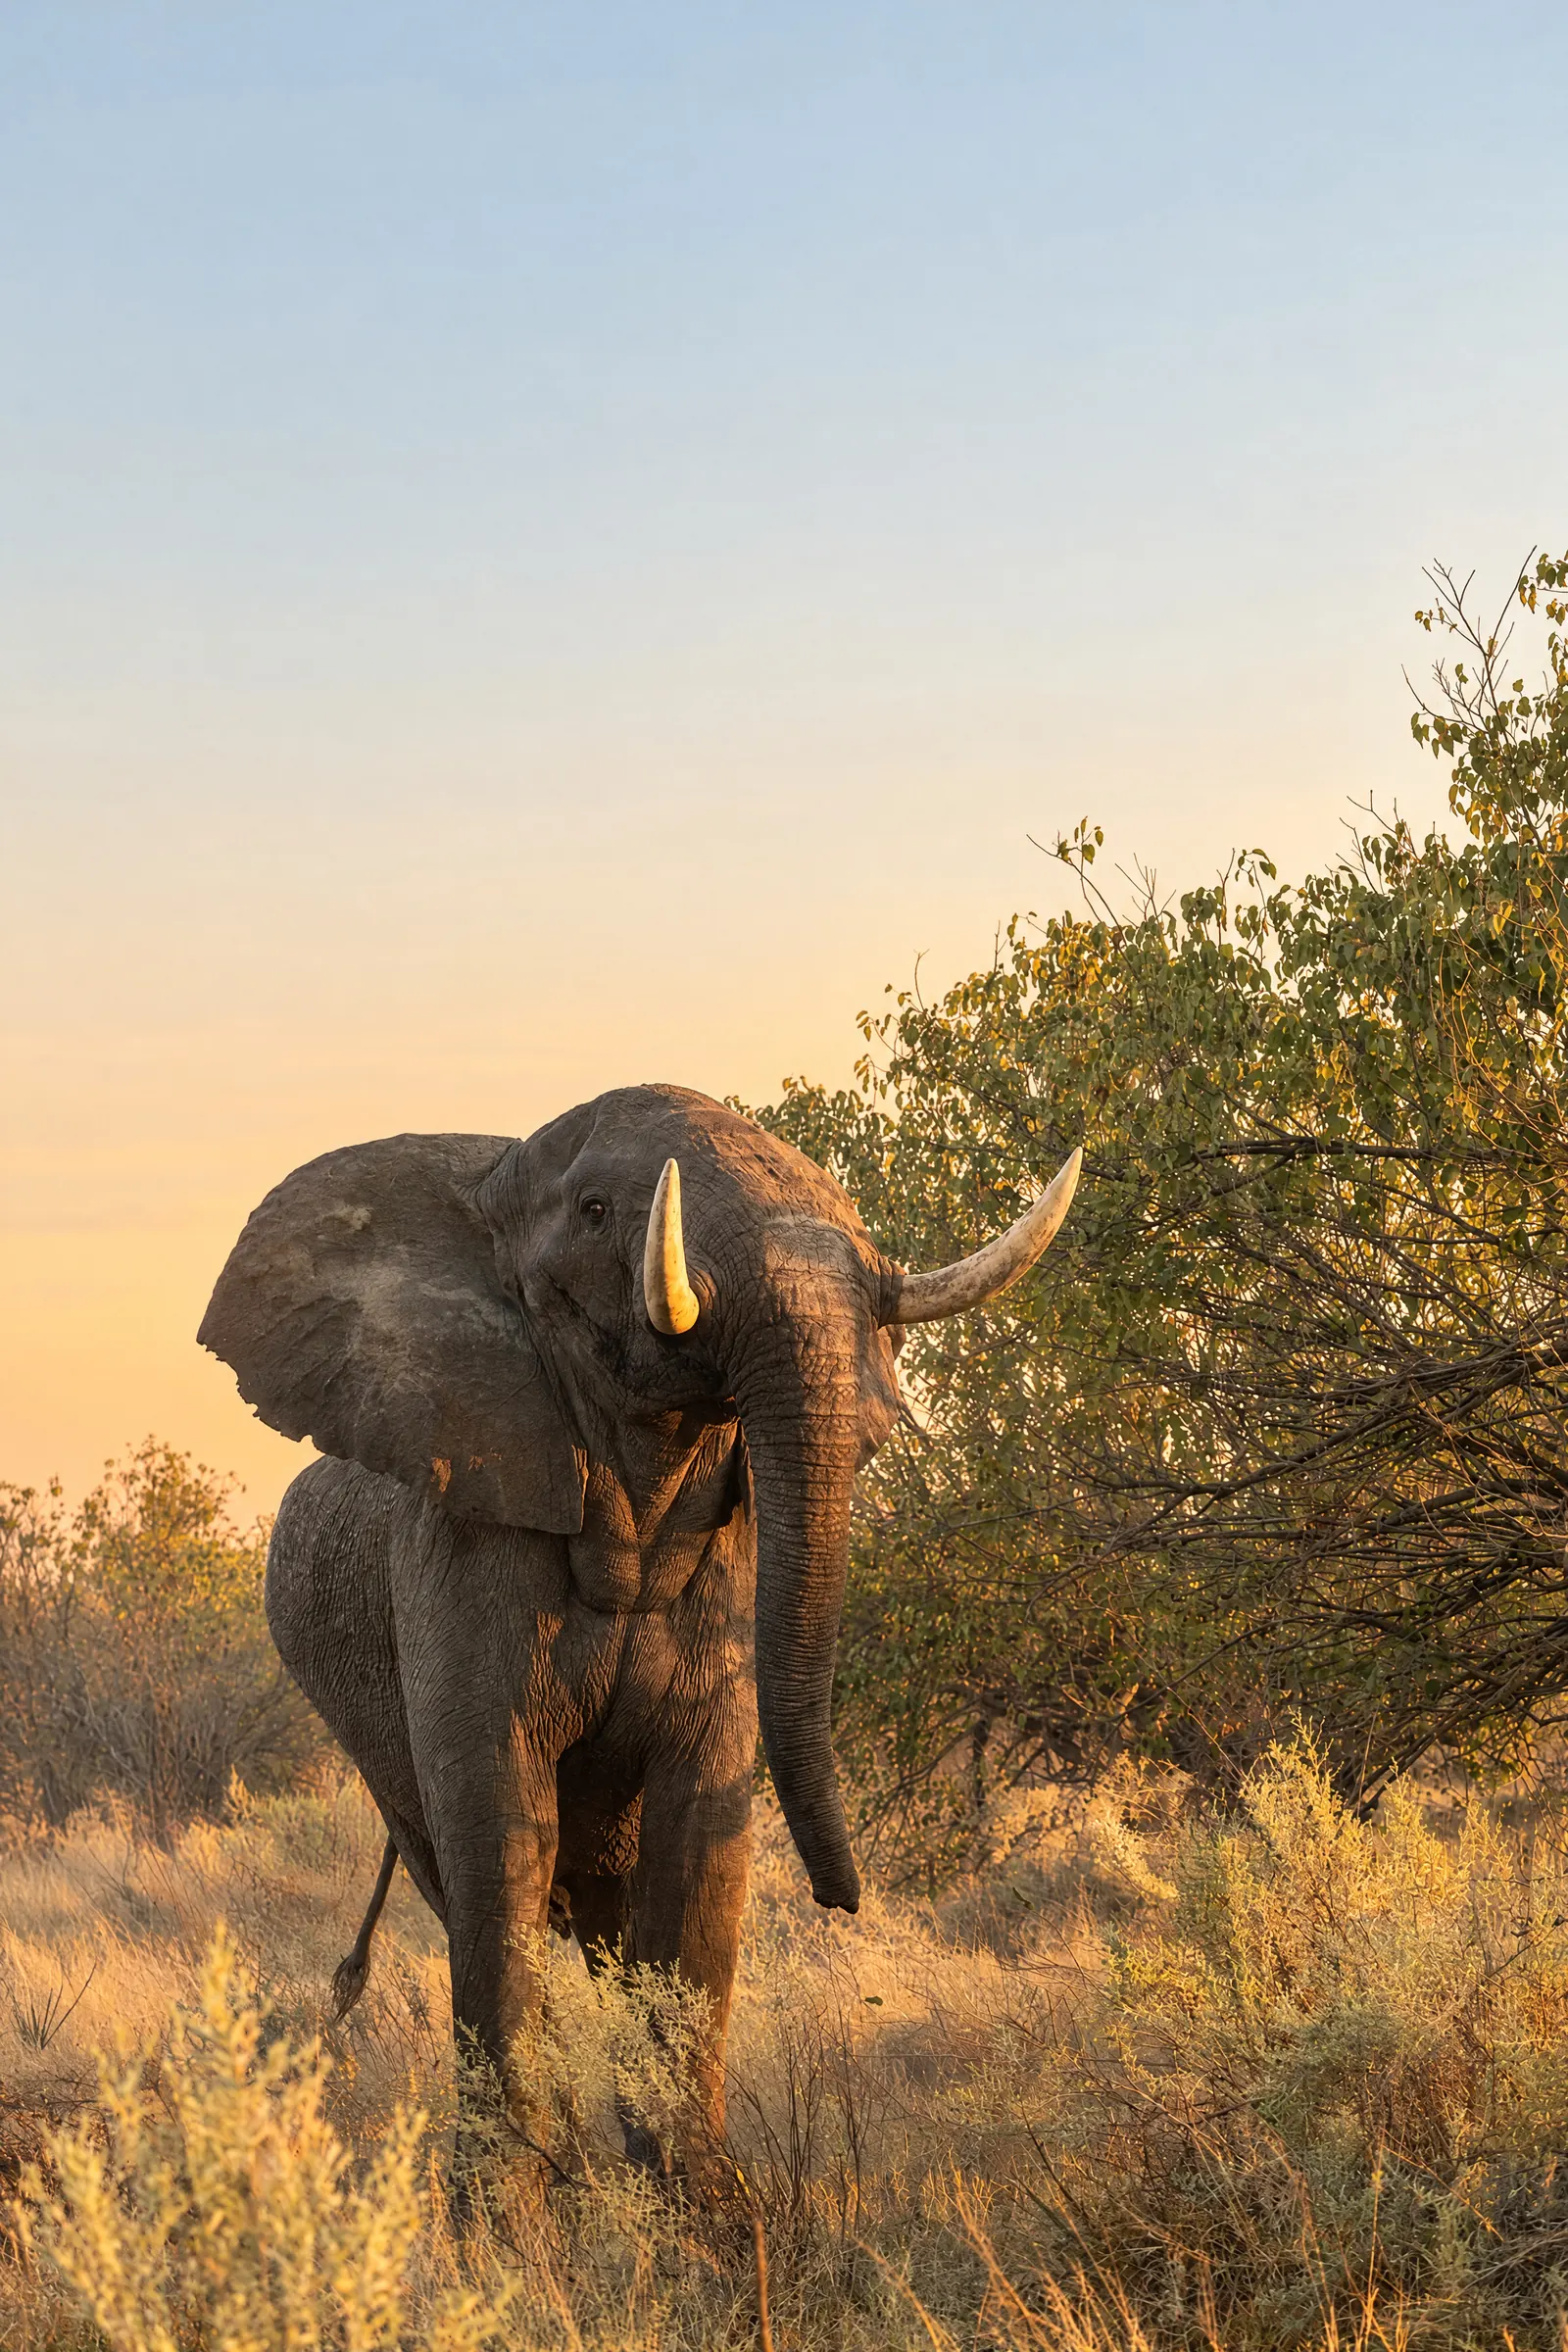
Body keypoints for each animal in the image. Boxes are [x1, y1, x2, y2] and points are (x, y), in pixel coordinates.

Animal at [199, 1083, 1079, 2189]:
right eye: (596, 1213)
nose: (846, 1901)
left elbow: (699, 1841)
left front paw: (699, 2206)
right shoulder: (457, 1550)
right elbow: (500, 1829)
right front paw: (514, 2213)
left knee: (607, 1914)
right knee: (475, 1885)